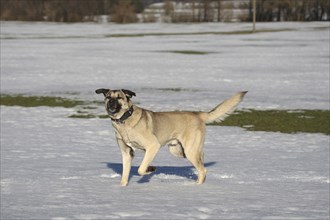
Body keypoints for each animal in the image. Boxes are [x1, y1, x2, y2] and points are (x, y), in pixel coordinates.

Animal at [94, 88, 246, 186]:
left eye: (119, 97)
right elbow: (125, 175)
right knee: (202, 160)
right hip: (178, 150)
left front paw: (151, 169)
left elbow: (141, 169)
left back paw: (197, 186)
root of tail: (198, 114)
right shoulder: (126, 152)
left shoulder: (152, 146)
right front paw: (122, 188)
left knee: (203, 169)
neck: (124, 121)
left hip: (189, 151)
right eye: (108, 97)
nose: (111, 104)